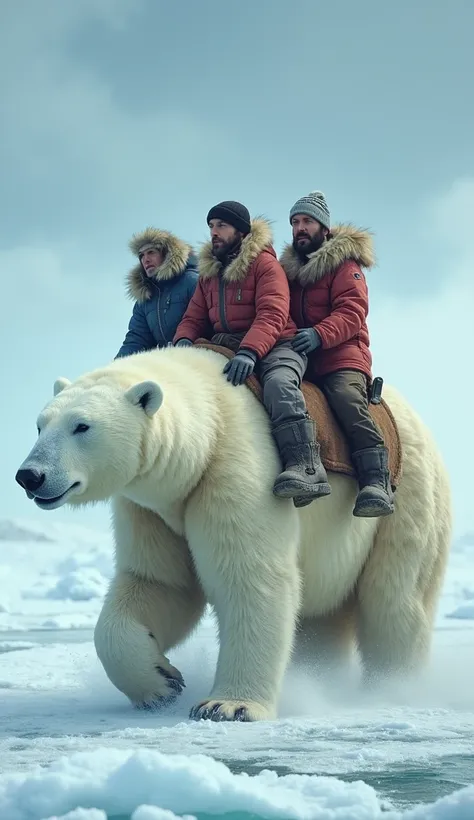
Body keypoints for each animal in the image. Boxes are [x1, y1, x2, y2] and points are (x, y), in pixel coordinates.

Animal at [15, 346, 452, 724]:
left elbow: (249, 578)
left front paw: (227, 706)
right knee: (323, 615)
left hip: (407, 501)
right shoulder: (152, 508)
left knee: (395, 599)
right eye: (40, 425)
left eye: (81, 426)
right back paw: (321, 680)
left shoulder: (238, 466)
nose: (29, 475)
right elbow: (158, 582)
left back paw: (392, 689)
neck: (207, 424)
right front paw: (161, 683)